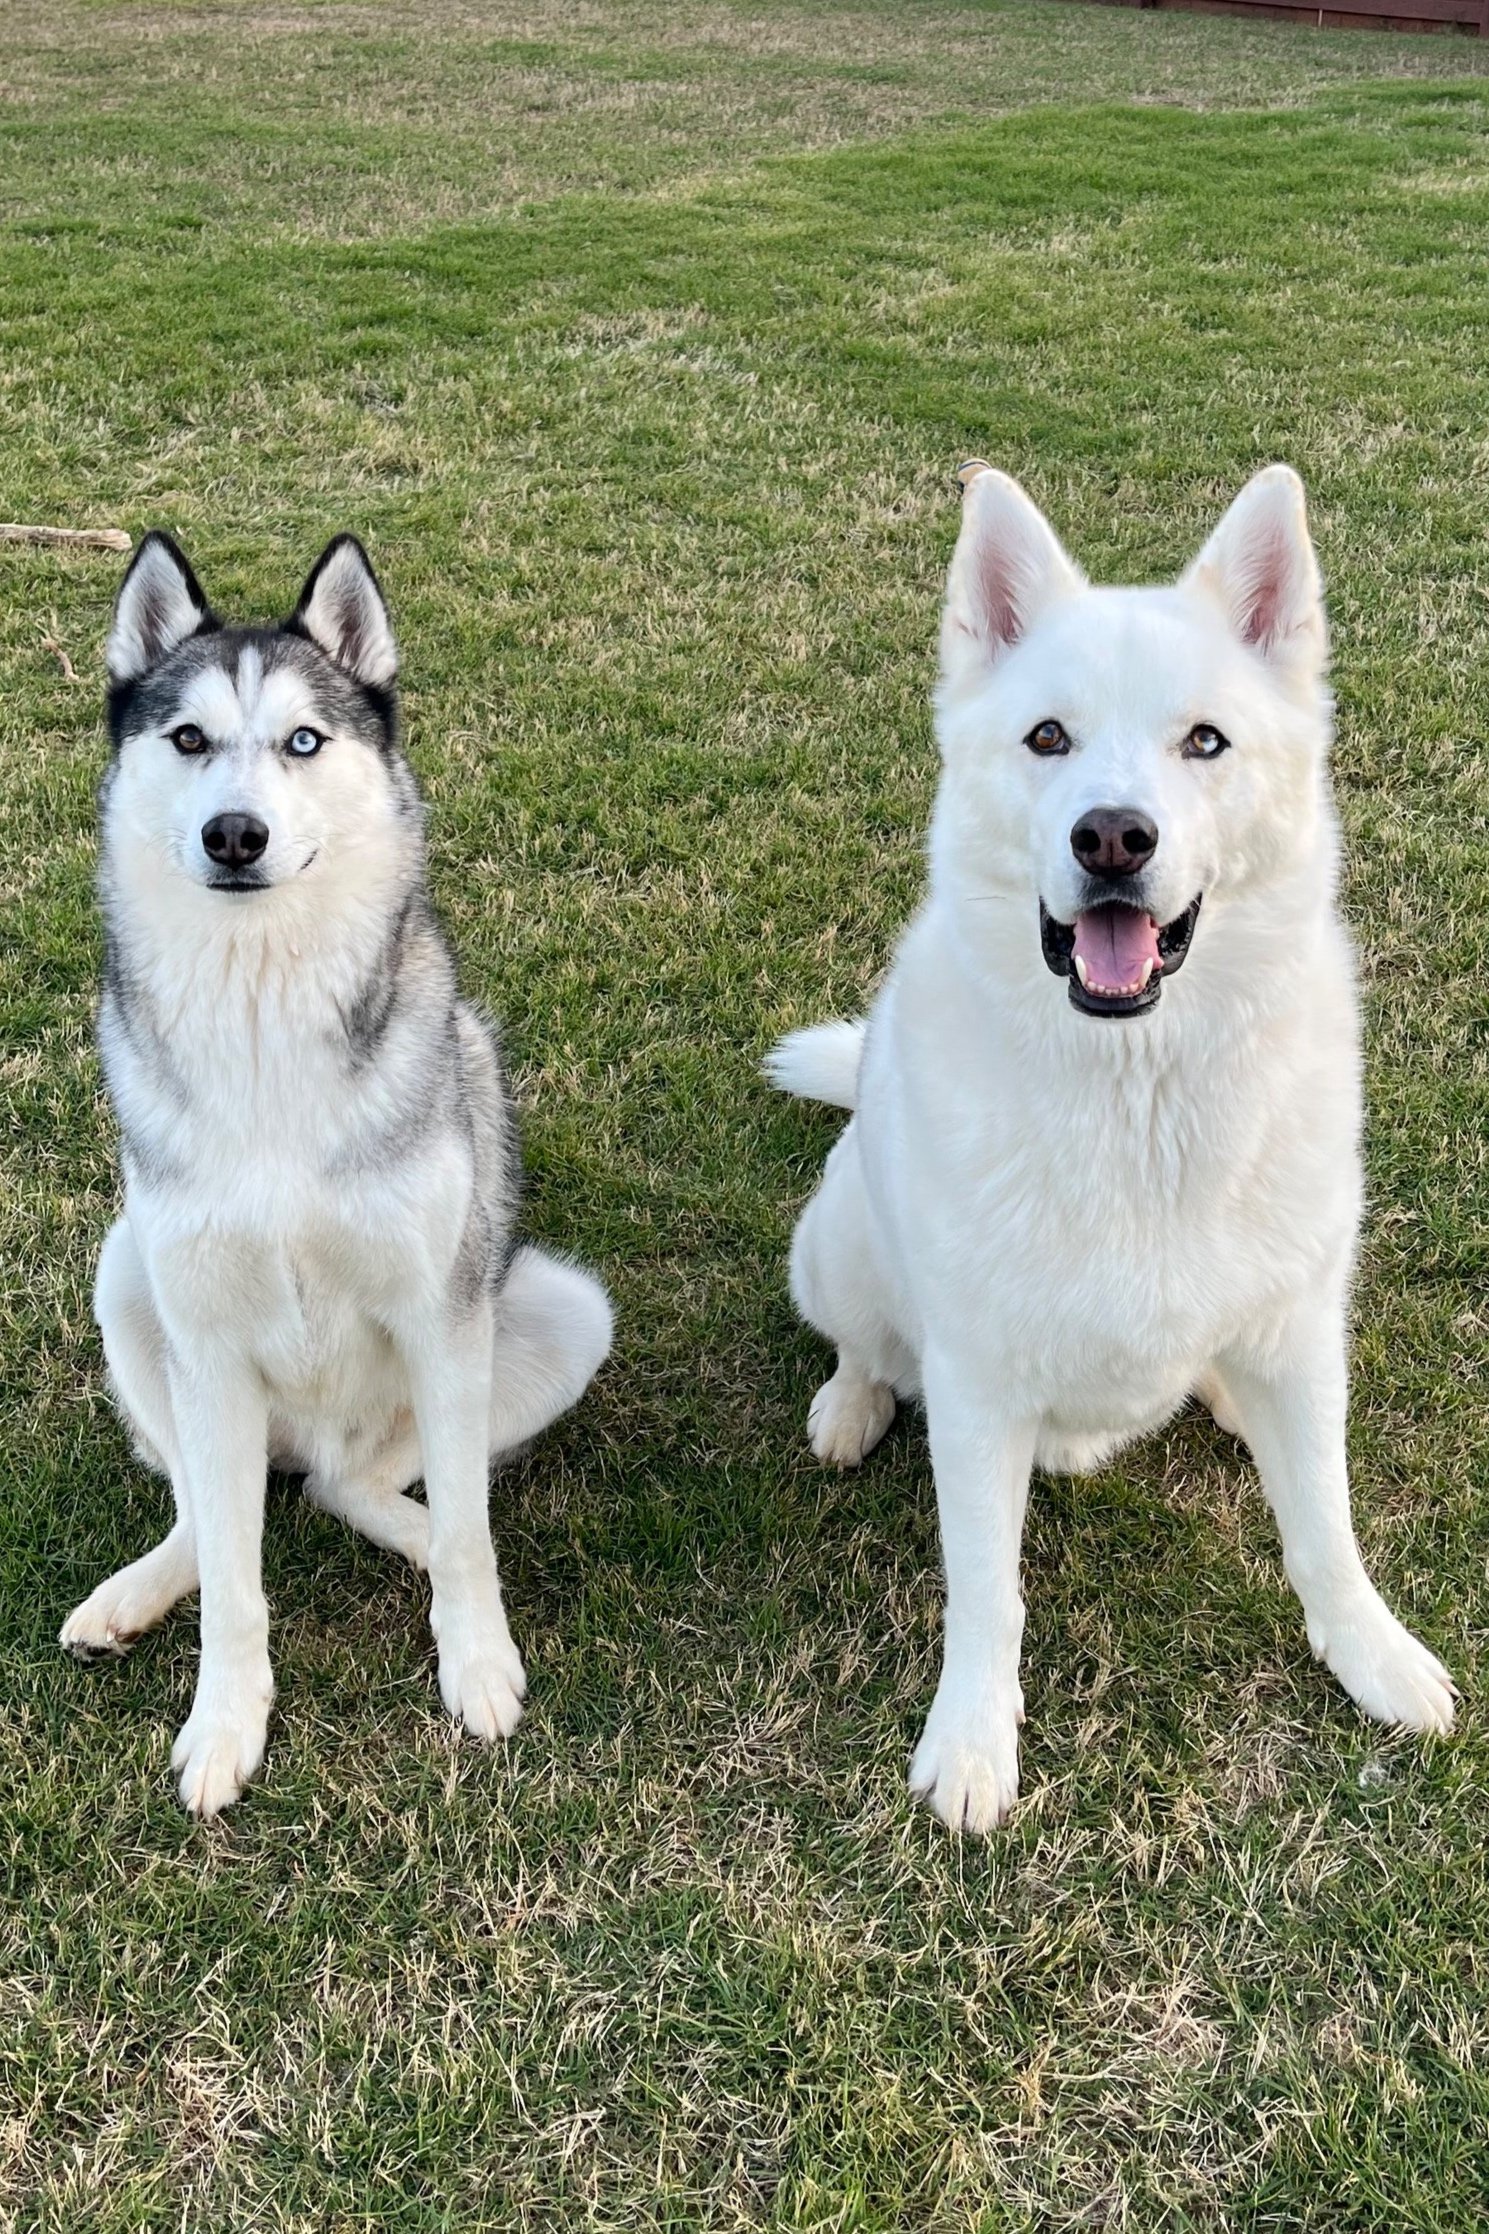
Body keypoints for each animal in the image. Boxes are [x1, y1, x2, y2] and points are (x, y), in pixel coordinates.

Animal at [61, 530, 612, 1816]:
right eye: (188, 739)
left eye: (304, 741)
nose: (234, 833)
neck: (263, 1006)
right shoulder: (206, 1339)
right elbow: (232, 1579)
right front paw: (225, 1721)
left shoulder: (440, 1311)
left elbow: (464, 1526)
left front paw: (477, 1656)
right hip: (132, 1279)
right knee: (217, 1509)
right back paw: (135, 1589)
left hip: (551, 1316)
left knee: (357, 1489)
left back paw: (416, 1537)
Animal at [769, 462, 1455, 1832]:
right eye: (1048, 739)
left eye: (1205, 741)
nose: (1112, 838)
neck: (1141, 1096)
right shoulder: (977, 1394)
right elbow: (986, 1590)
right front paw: (971, 1738)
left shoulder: (1304, 1333)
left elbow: (1326, 1527)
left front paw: (1370, 1653)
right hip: (838, 1242)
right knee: (865, 1342)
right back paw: (850, 1403)